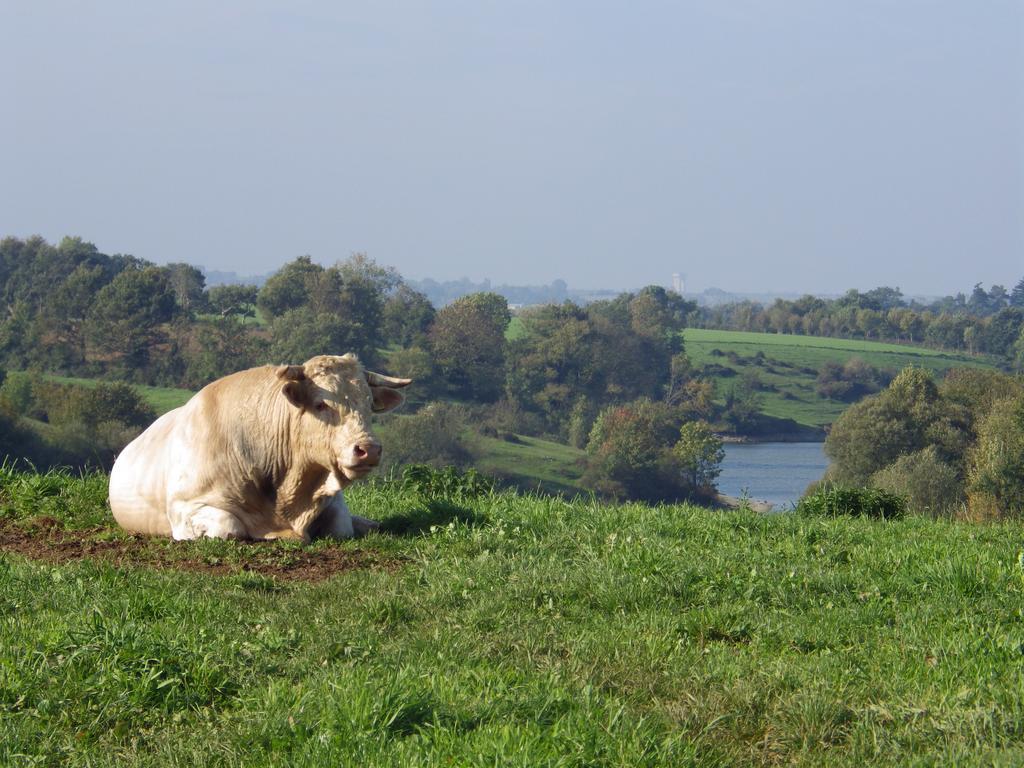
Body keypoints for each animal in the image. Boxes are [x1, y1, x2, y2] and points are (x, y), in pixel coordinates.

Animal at [103, 354, 407, 540]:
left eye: (369, 403)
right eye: (321, 404)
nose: (369, 449)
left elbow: (341, 526)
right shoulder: (185, 507)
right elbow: (229, 527)